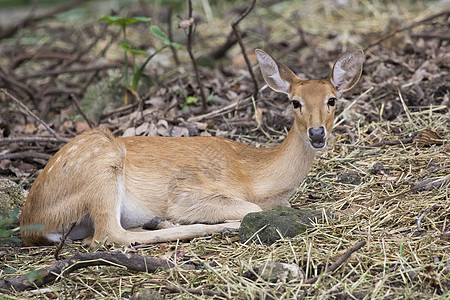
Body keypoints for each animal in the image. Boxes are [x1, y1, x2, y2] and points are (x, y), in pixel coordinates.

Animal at [22, 48, 366, 246]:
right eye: (295, 102)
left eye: (332, 100)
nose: (317, 133)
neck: (254, 177)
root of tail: (30, 223)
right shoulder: (188, 192)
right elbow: (251, 209)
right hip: (101, 167)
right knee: (108, 235)